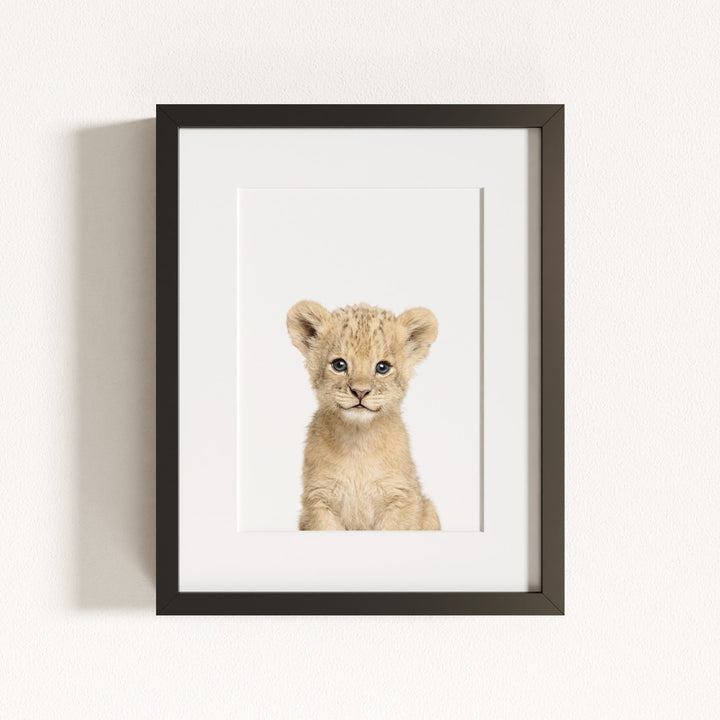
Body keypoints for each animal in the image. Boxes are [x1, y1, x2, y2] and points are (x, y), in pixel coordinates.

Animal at [287, 301, 441, 531]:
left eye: (382, 367)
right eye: (339, 365)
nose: (360, 392)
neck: (358, 443)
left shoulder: (402, 498)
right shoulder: (318, 500)